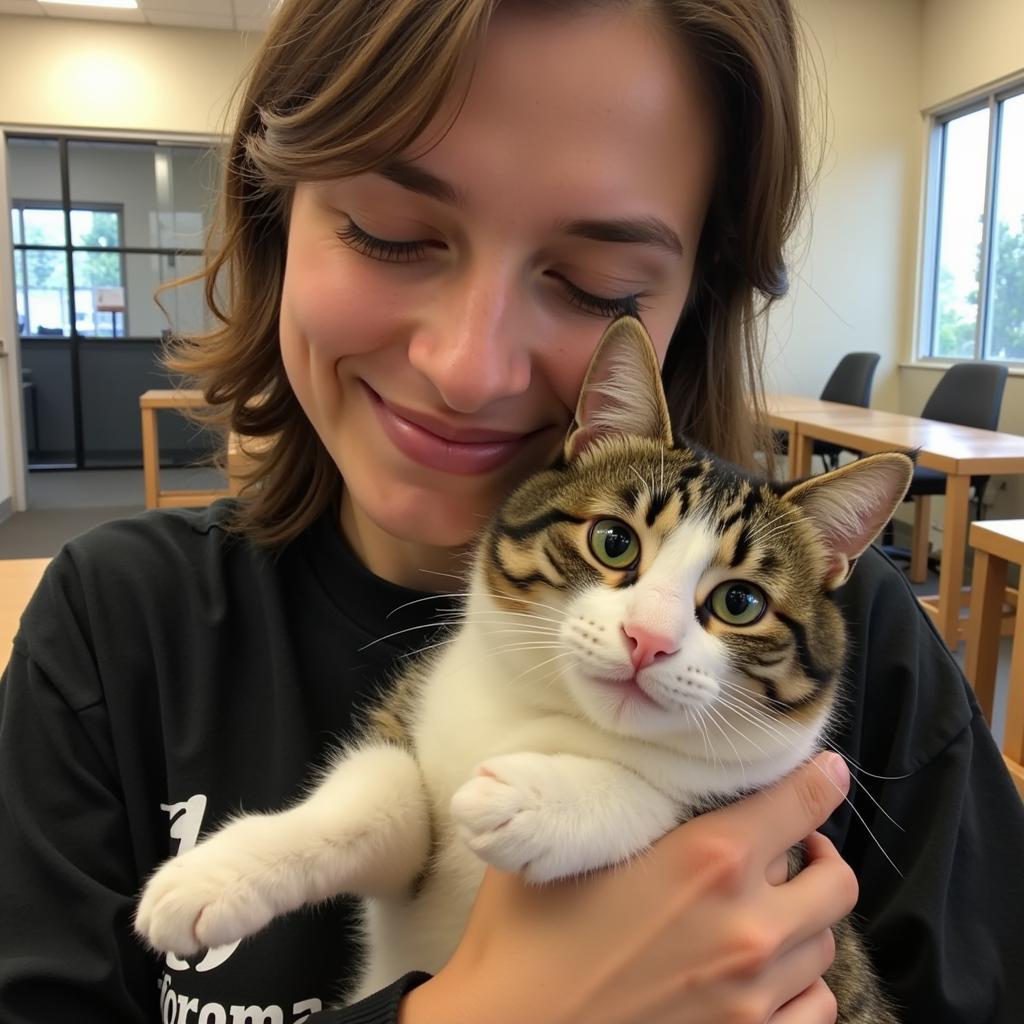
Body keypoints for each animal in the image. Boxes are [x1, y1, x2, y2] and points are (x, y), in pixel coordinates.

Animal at [138, 315, 913, 1019]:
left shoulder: (771, 829)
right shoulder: (420, 745)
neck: (550, 711)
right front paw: (214, 876)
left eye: (740, 601)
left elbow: (668, 795)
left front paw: (534, 799)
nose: (647, 639)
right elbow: (383, 797)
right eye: (613, 540)